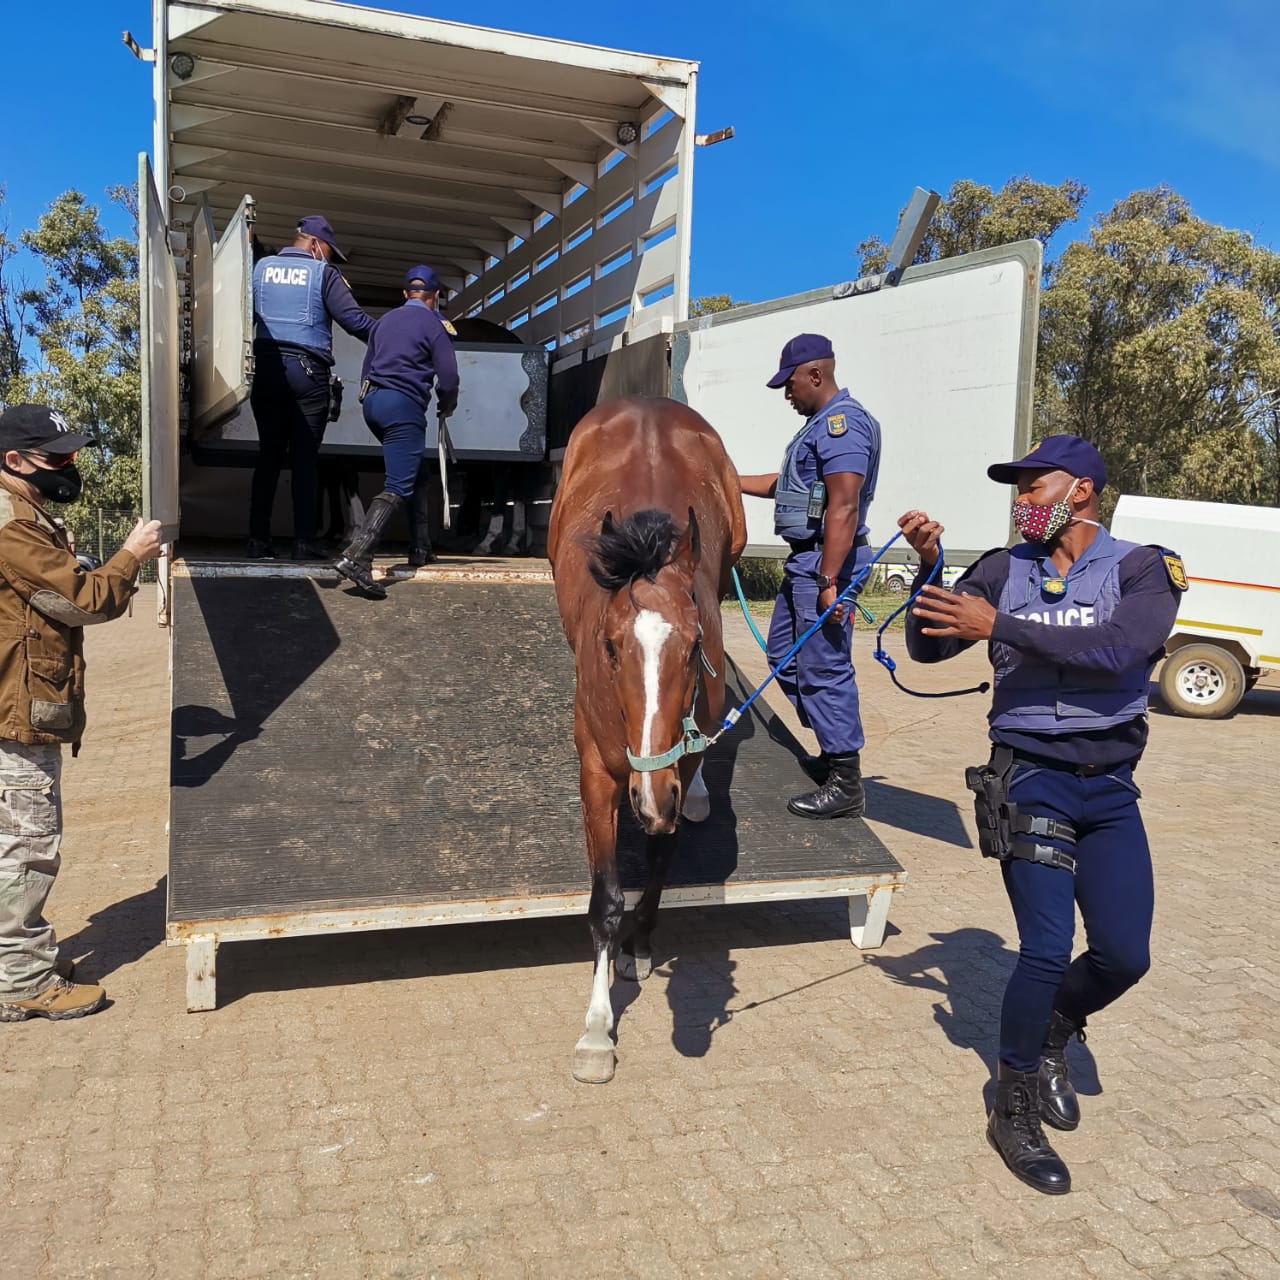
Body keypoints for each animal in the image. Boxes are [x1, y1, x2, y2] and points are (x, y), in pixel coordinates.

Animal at [545, 394, 747, 1085]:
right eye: (611, 647)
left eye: (695, 644)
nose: (651, 796)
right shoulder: (599, 773)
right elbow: (605, 898)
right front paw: (595, 1032)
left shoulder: (670, 775)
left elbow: (663, 859)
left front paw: (641, 943)